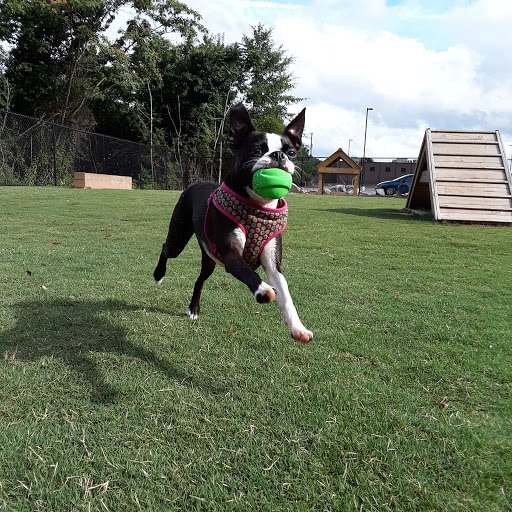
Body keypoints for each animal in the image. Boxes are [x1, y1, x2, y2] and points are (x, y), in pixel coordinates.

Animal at [152, 103, 312, 344]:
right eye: (256, 150)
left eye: (291, 152)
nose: (279, 155)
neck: (258, 206)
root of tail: (196, 184)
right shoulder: (230, 255)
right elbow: (250, 274)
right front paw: (263, 290)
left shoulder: (274, 266)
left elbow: (286, 294)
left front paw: (298, 327)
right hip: (178, 237)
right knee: (166, 248)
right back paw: (158, 275)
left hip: (209, 258)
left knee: (200, 279)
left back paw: (193, 309)